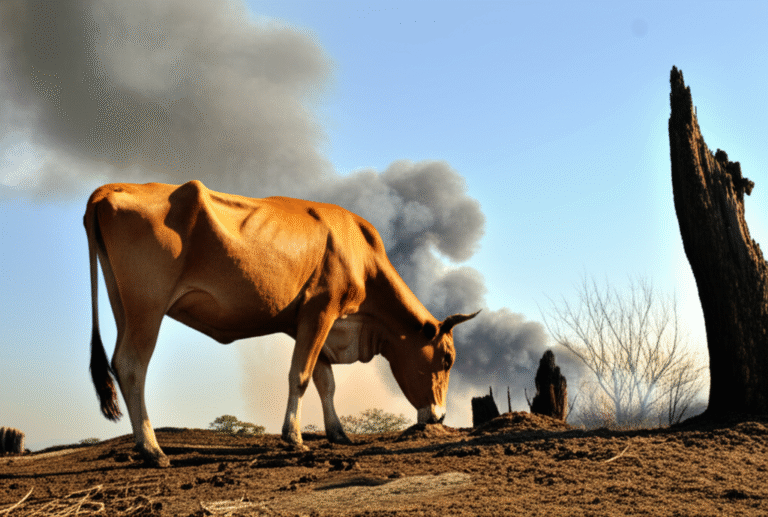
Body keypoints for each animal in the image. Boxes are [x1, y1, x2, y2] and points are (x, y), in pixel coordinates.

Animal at [84, 180, 478, 467]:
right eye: (447, 359)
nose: (440, 416)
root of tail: (111, 187)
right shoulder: (321, 310)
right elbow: (301, 377)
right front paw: (294, 438)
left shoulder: (309, 322)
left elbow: (325, 381)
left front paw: (338, 434)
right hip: (148, 305)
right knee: (132, 365)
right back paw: (152, 449)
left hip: (123, 304)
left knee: (120, 361)